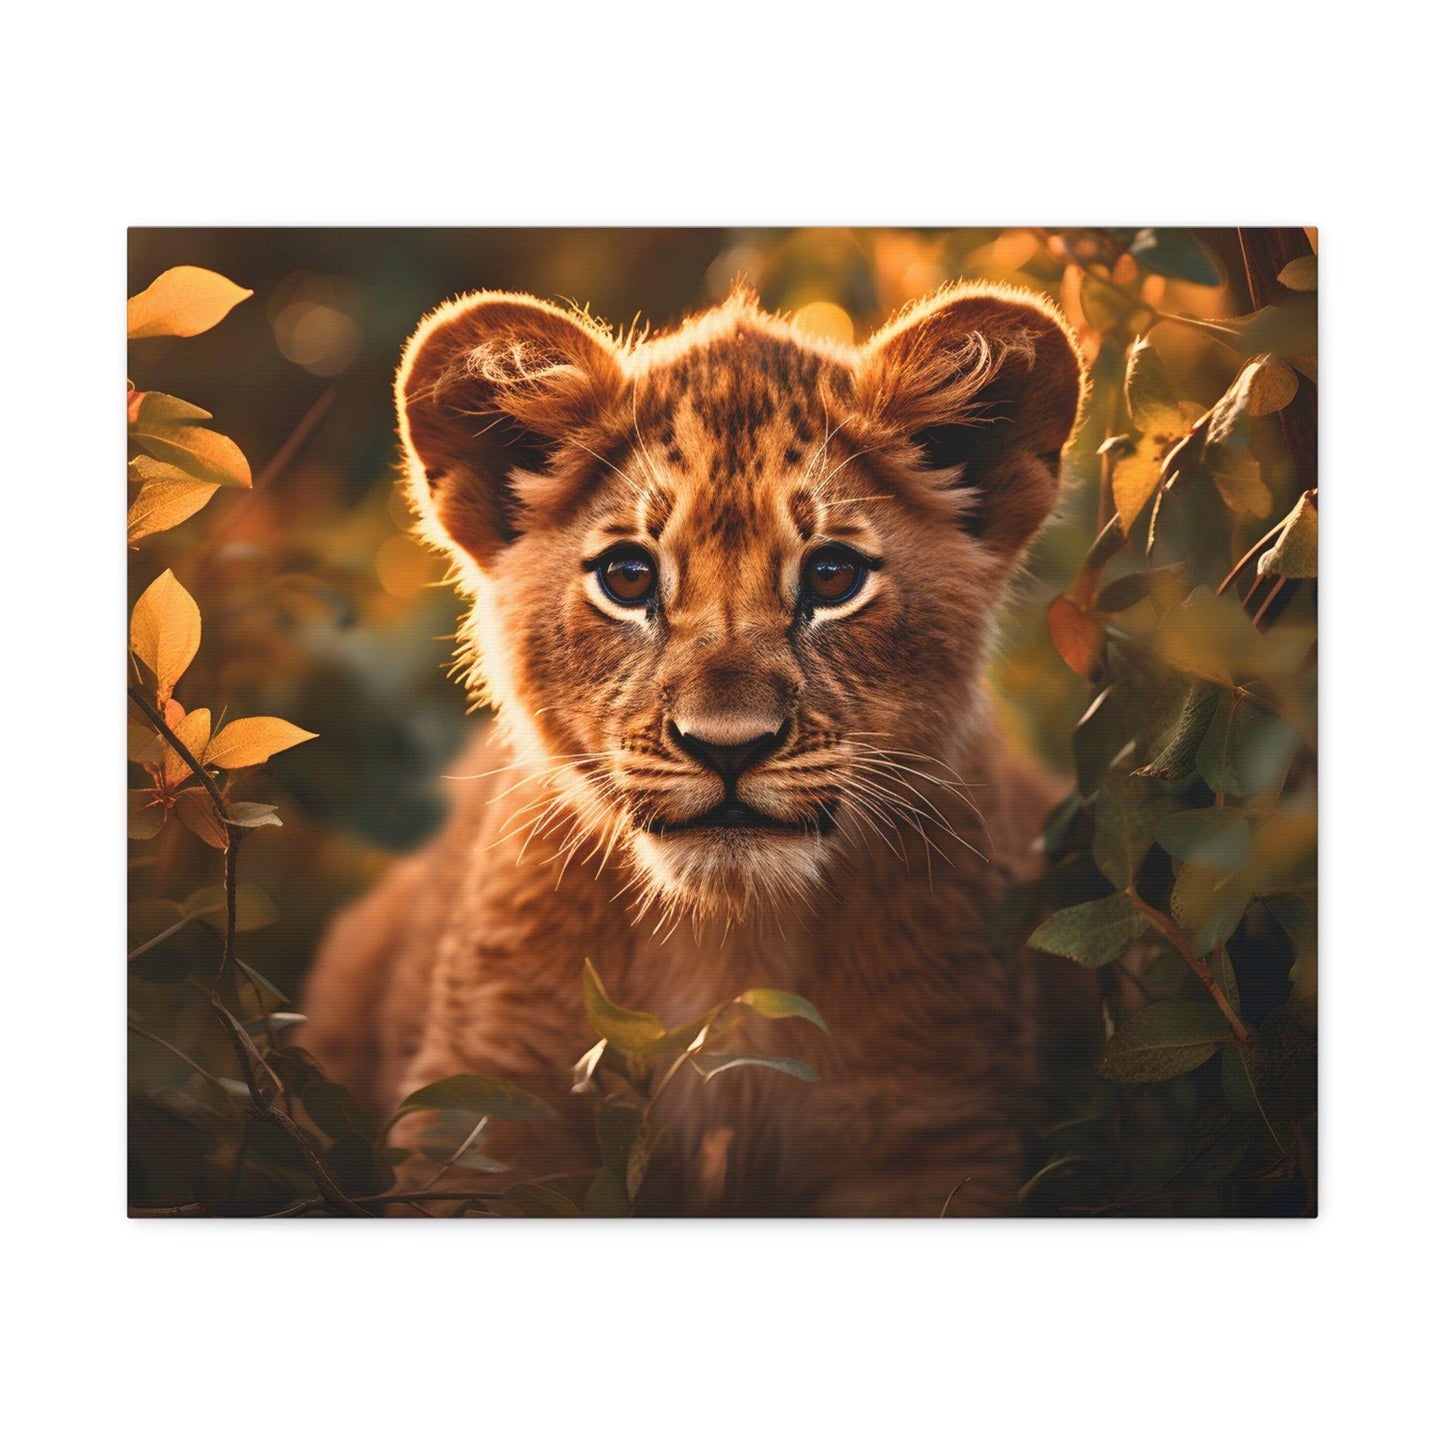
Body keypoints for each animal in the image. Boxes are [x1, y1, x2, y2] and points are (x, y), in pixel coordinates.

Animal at [300, 280, 1095, 1215]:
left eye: (831, 577)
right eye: (627, 577)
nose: (728, 747)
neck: (730, 945)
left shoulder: (931, 1129)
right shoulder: (485, 1115)